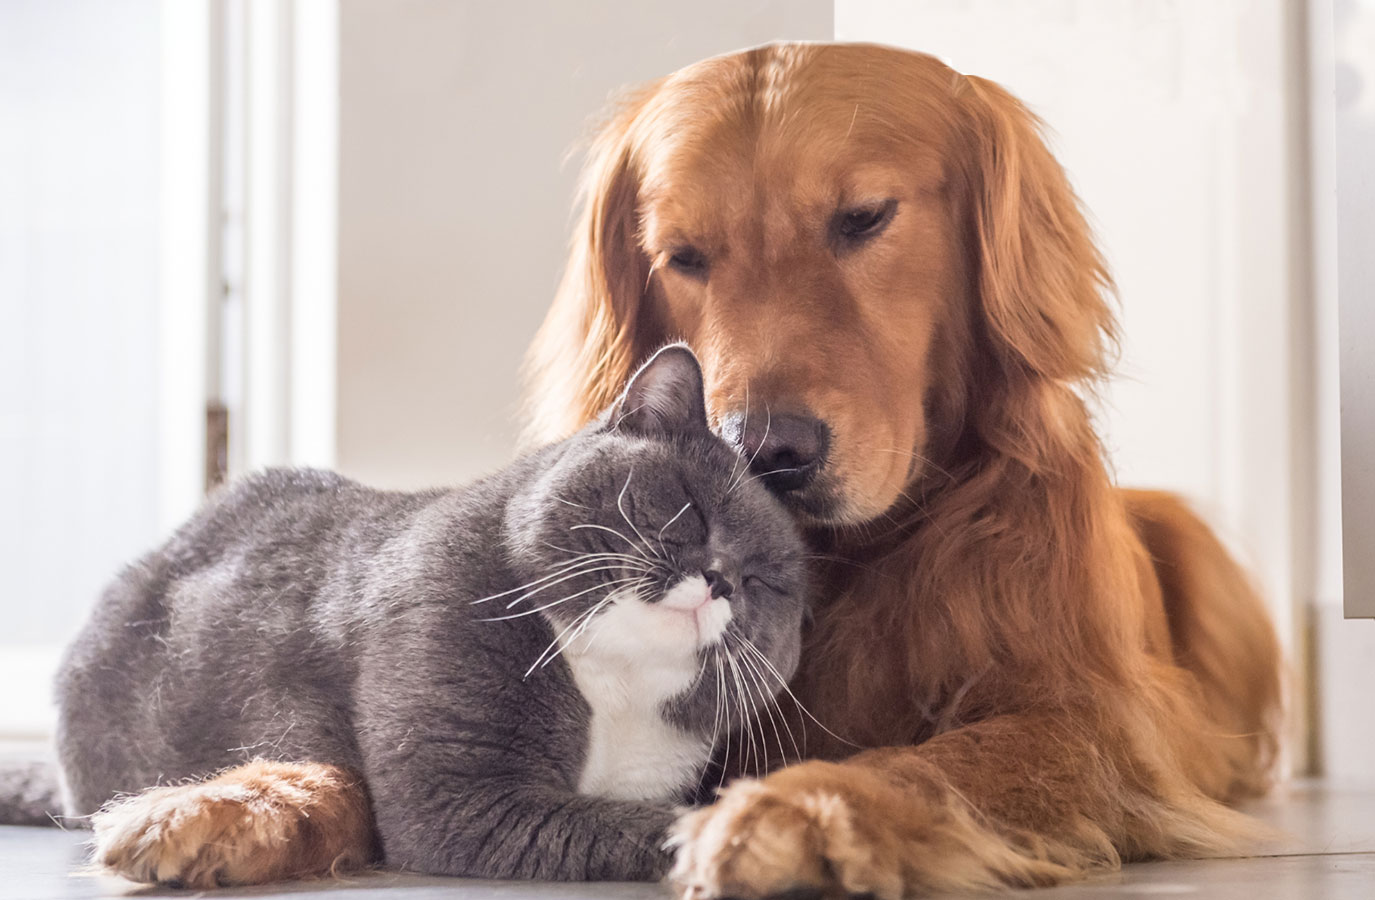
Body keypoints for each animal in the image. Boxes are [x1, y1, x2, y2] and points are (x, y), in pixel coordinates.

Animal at [50, 349, 803, 884]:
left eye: (764, 581)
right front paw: (745, 836)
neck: (613, 686)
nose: (720, 580)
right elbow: (647, 823)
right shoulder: (462, 798)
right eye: (690, 511)